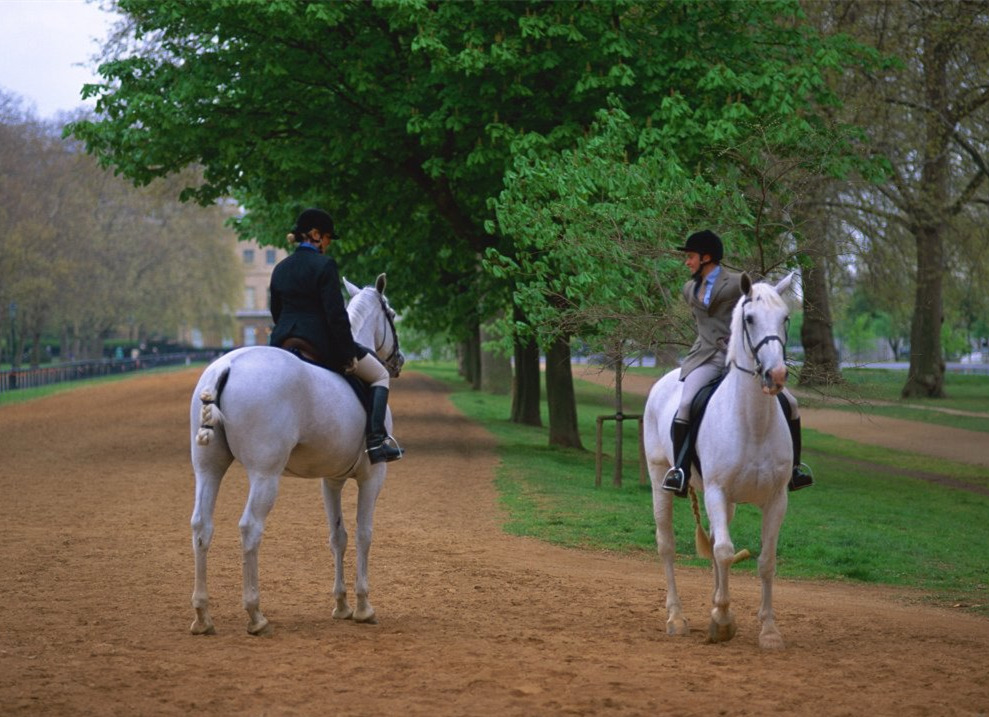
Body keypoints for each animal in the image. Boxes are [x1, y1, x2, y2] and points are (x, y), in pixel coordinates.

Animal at [187, 272, 404, 632]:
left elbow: (338, 536)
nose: (399, 361)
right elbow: (364, 534)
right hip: (265, 475)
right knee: (250, 528)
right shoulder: (373, 476)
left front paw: (342, 605)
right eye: (394, 314)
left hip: (208, 469)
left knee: (202, 526)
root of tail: (227, 365)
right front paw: (363, 606)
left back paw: (203, 616)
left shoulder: (331, 480)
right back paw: (255, 614)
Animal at [640, 270, 796, 648]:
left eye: (785, 318)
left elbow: (765, 561)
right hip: (659, 480)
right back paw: (676, 618)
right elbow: (726, 551)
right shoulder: (716, 491)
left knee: (712, 544)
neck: (753, 422)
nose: (776, 376)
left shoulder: (776, 499)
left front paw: (768, 630)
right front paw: (722, 621)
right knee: (668, 546)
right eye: (749, 318)